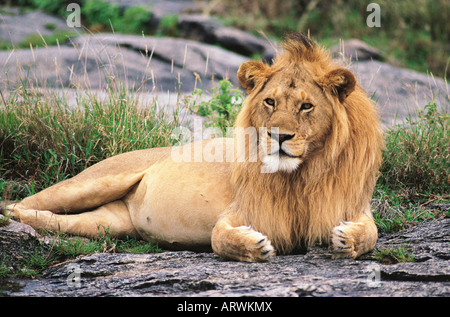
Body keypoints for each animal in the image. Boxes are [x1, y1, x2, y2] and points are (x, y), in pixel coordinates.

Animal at [5, 33, 382, 262]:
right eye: (271, 102)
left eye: (306, 107)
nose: (278, 136)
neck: (301, 175)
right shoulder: (238, 212)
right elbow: (219, 238)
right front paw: (255, 247)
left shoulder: (354, 205)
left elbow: (372, 233)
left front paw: (347, 239)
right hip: (93, 182)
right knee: (22, 202)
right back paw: (8, 216)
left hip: (107, 222)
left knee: (59, 221)